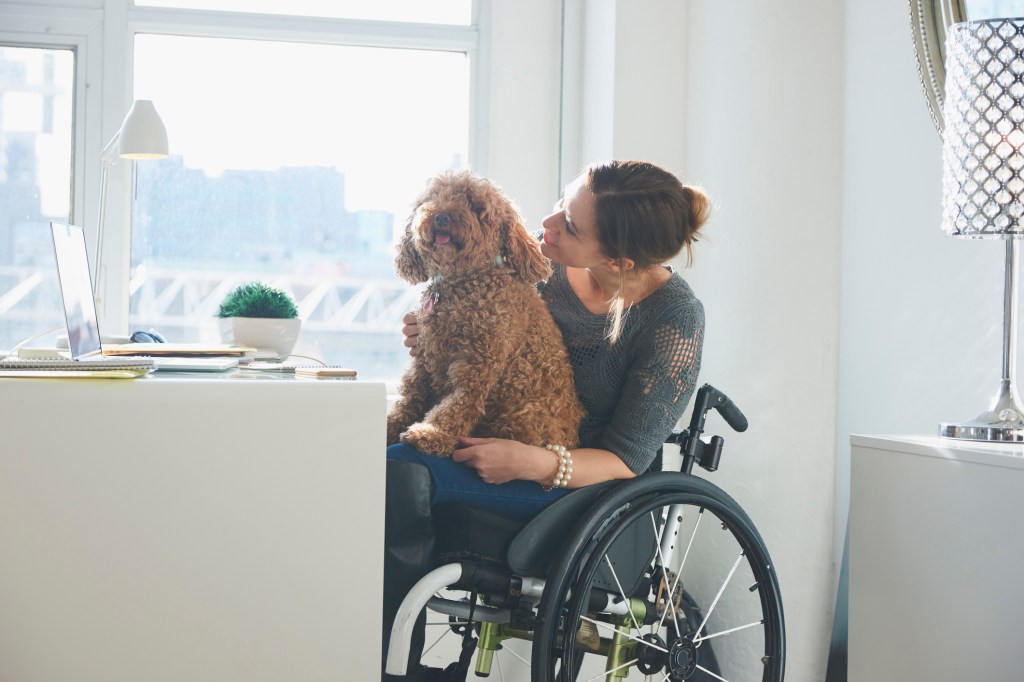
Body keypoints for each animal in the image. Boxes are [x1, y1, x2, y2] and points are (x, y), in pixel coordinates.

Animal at [387, 169, 585, 456]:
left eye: (473, 204)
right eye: (433, 198)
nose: (441, 216)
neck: (464, 281)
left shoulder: (477, 364)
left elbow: (458, 405)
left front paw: (433, 433)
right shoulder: (424, 358)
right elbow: (408, 399)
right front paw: (389, 426)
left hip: (520, 417)